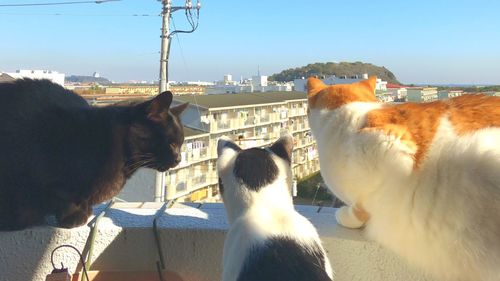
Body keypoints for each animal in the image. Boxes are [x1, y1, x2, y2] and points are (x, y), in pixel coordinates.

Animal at [0, 79, 188, 230]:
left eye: (181, 144)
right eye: (172, 143)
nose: (178, 159)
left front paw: (86, 211)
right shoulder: (48, 168)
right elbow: (65, 196)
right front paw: (73, 218)